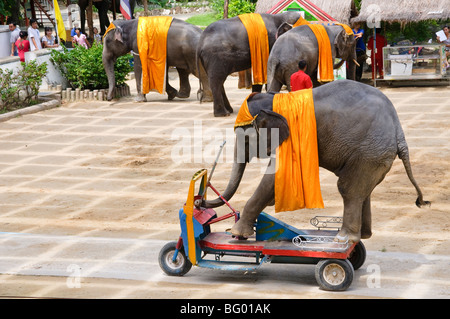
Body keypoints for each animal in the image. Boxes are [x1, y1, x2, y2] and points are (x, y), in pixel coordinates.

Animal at [202, 81, 430, 244]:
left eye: (245, 139)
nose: (199, 201)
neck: (278, 99)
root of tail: (398, 131)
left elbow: (275, 176)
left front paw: (237, 233)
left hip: (369, 151)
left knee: (349, 189)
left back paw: (344, 238)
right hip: (376, 155)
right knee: (363, 191)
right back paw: (363, 235)